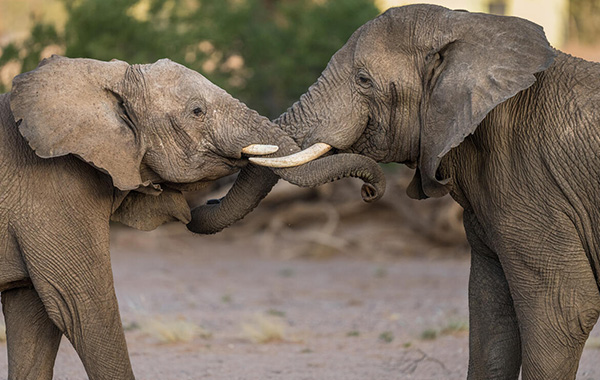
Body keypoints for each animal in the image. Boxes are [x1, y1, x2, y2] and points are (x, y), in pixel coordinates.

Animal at [0, 55, 384, 378]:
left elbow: (34, 317)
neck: (100, 77)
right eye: (197, 111)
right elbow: (80, 306)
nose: (370, 191)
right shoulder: (53, 189)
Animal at [190, 2, 600, 380]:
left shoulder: (534, 184)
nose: (202, 202)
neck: (468, 28)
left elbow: (564, 311)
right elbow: (491, 320)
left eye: (363, 80)